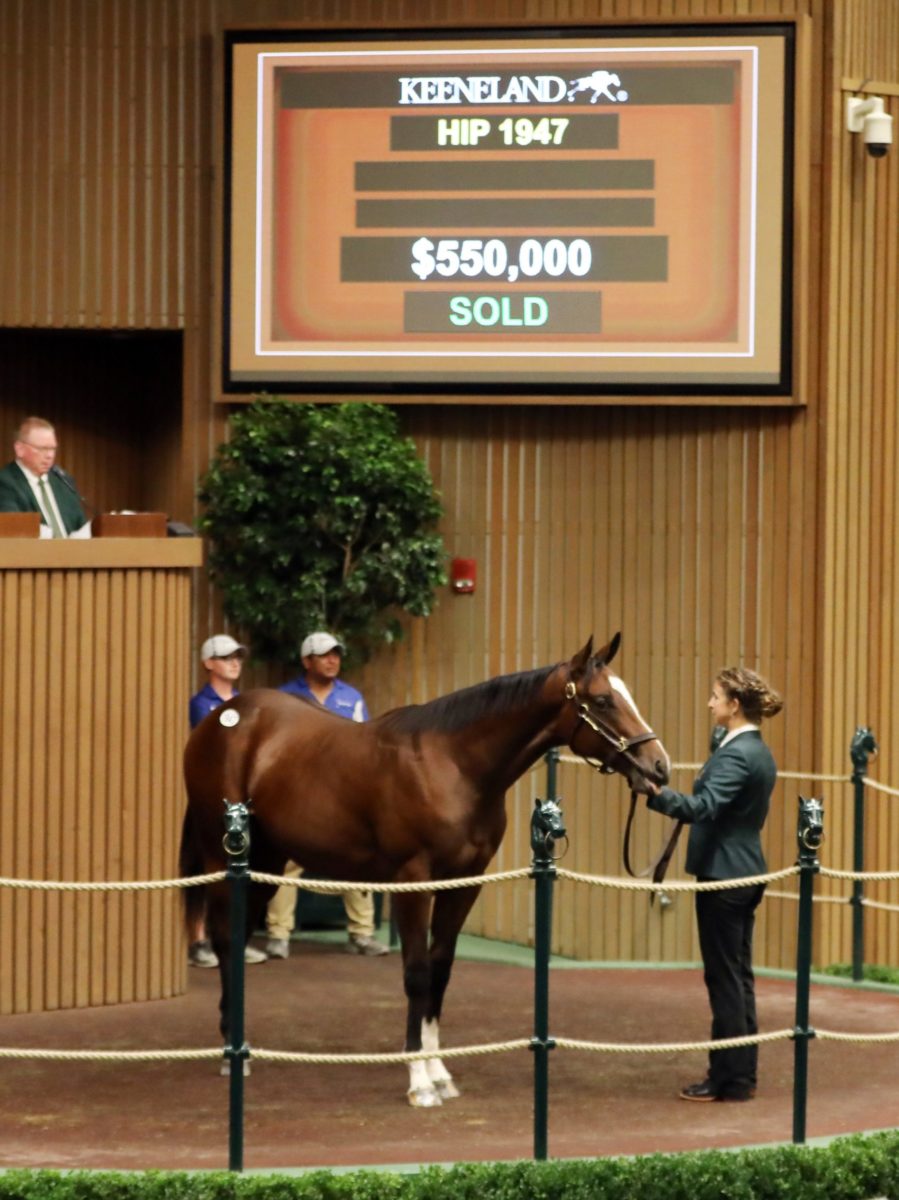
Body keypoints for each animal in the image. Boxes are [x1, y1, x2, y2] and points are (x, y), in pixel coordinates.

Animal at [180, 633, 667, 1108]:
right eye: (603, 700)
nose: (659, 766)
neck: (453, 765)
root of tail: (222, 718)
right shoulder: (413, 883)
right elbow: (416, 974)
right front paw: (418, 1080)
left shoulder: (464, 884)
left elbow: (441, 969)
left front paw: (440, 1073)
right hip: (224, 858)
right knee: (225, 939)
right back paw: (232, 1055)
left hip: (265, 862)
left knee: (239, 936)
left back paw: (242, 1044)